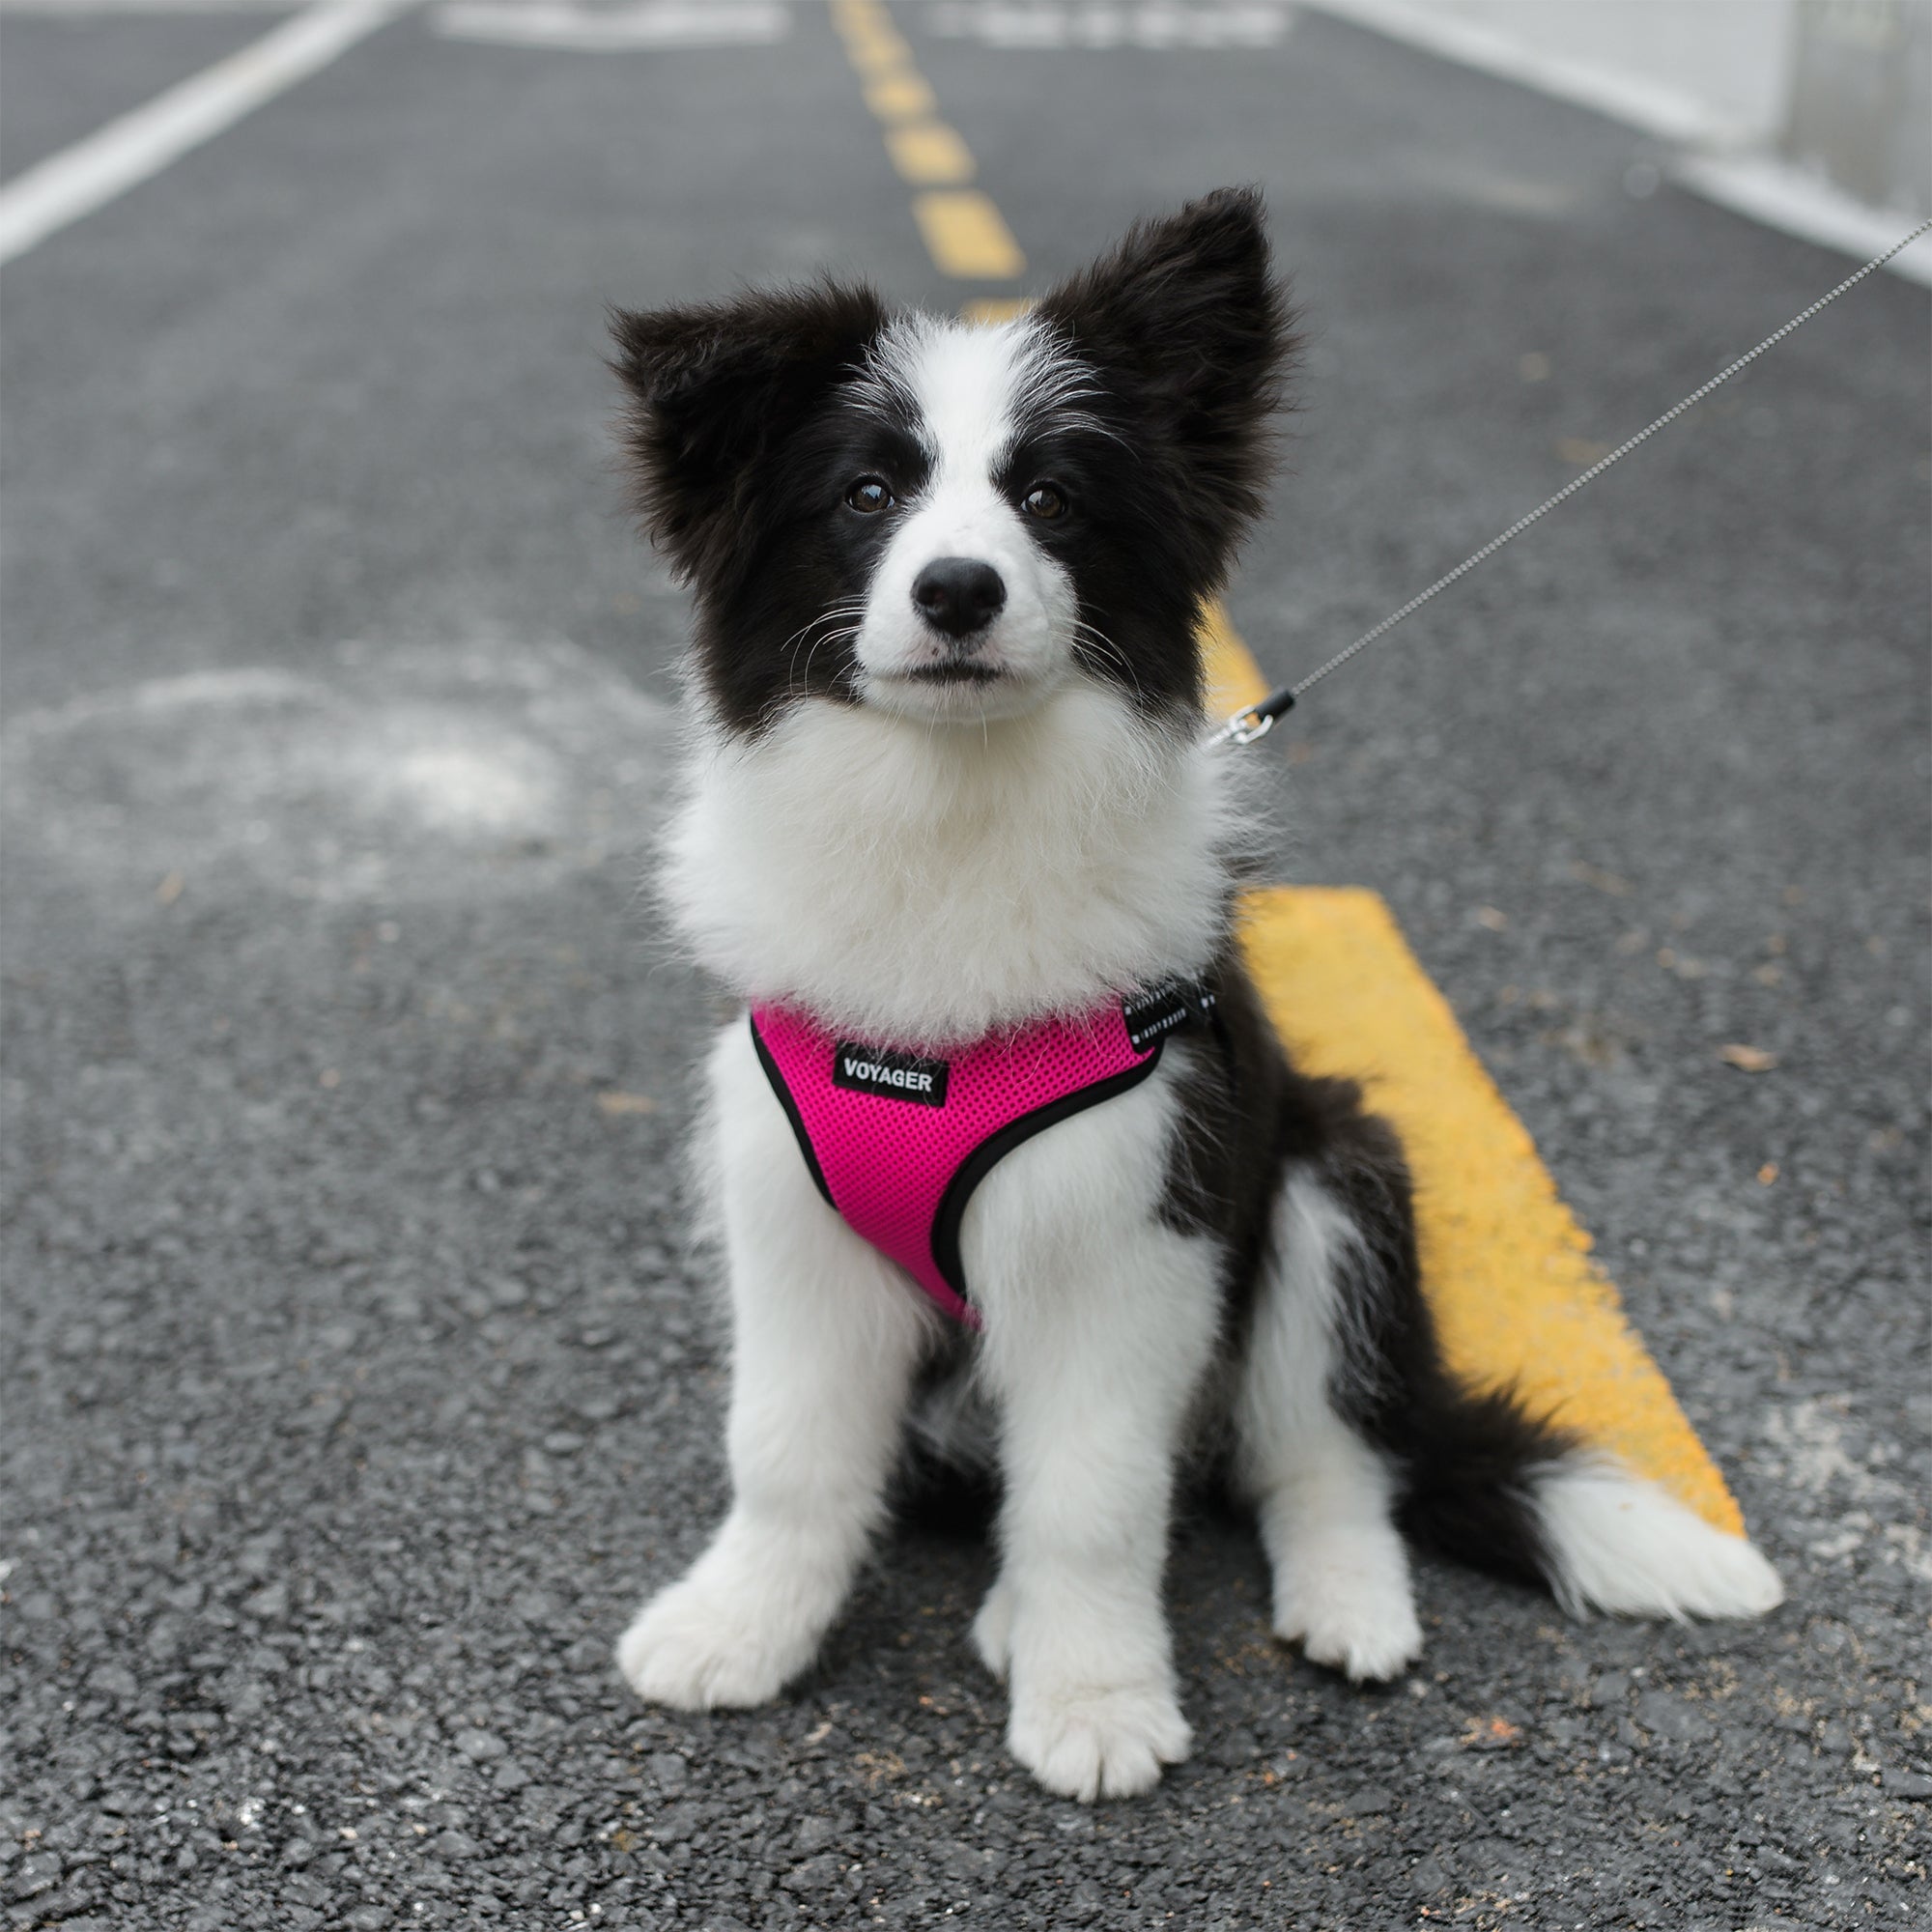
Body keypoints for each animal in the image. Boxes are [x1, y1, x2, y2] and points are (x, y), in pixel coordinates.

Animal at [607, 188, 1777, 1801]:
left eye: (1049, 497)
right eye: (866, 493)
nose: (957, 591)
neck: (958, 817)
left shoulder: (1139, 1222)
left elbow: (1097, 1497)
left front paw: (1097, 1705)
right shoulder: (794, 1214)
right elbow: (785, 1452)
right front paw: (736, 1633)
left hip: (1334, 1179)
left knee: (1321, 1458)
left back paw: (1342, 1608)